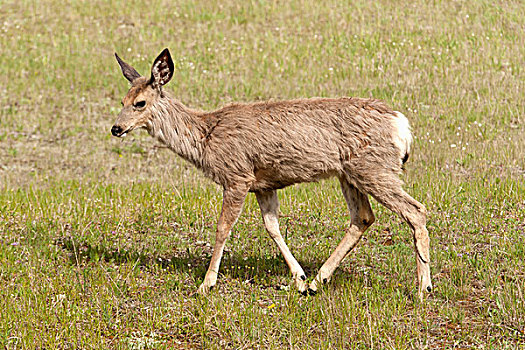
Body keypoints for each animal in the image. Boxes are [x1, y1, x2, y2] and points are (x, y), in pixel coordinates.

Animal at [109, 47, 430, 300]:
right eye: (122, 101)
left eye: (140, 103)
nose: (116, 128)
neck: (206, 138)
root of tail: (402, 125)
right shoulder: (263, 184)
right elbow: (272, 226)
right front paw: (299, 278)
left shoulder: (237, 175)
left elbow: (223, 227)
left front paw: (206, 284)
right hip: (350, 172)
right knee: (363, 217)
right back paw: (318, 280)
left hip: (374, 167)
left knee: (415, 210)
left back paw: (423, 289)